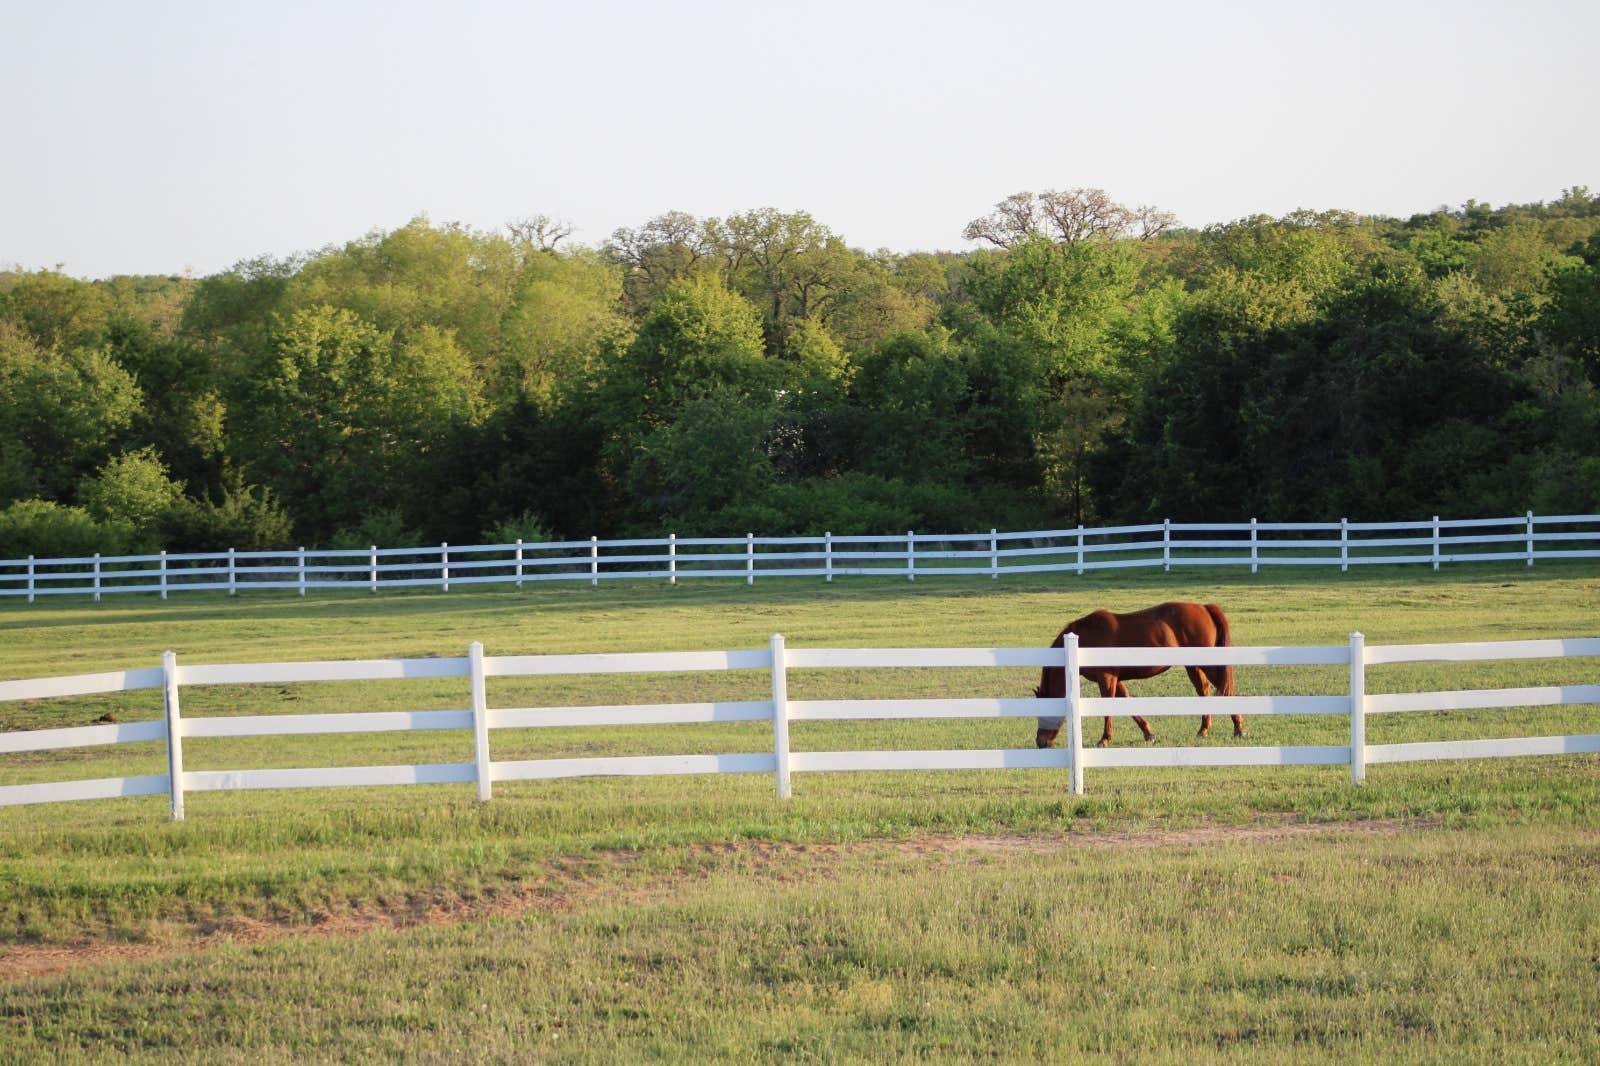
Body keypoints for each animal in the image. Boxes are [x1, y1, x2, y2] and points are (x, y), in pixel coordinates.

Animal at [1030, 598, 1241, 745]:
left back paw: (1237, 727)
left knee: (1226, 691)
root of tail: (1205, 607)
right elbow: (1128, 702)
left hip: (1206, 665)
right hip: (1194, 667)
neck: (1085, 637)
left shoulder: (1106, 678)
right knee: (1206, 690)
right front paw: (1148, 734)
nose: (1041, 742)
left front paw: (1104, 739)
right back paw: (1205, 729)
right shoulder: (1115, 679)